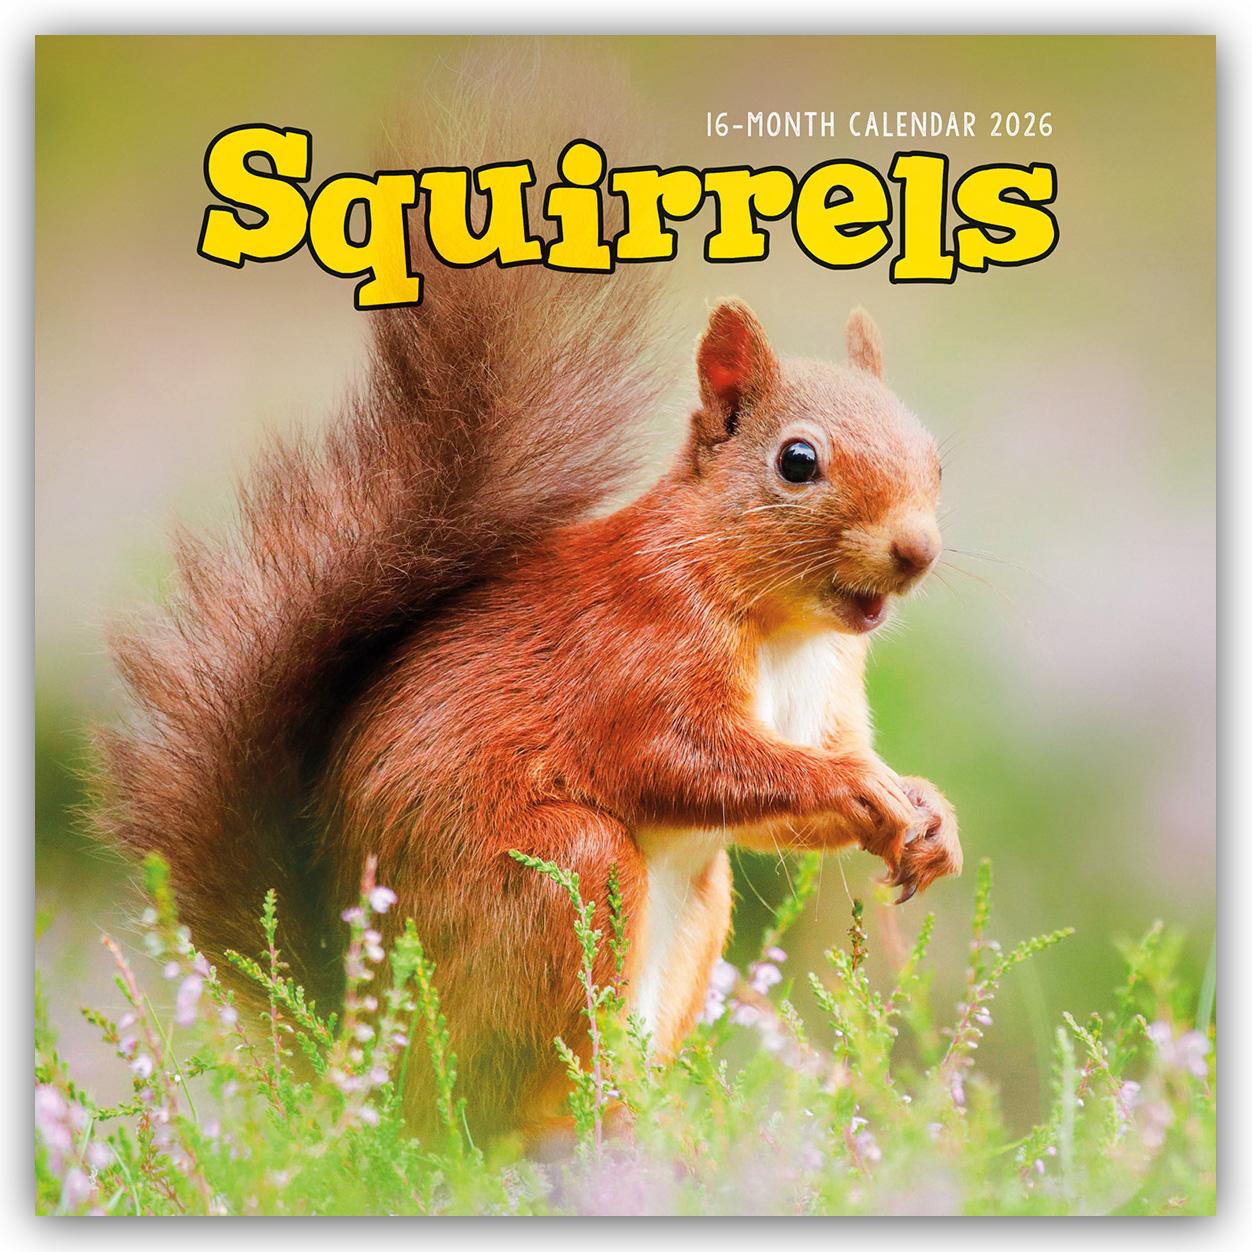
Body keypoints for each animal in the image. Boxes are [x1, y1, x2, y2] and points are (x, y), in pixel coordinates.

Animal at [95, 74, 961, 1144]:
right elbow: (681, 759)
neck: (788, 630)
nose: (916, 549)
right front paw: (858, 790)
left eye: (935, 455)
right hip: (561, 879)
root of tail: (361, 1061)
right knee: (487, 1105)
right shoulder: (636, 646)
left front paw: (925, 810)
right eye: (797, 461)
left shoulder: (830, 692)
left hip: (693, 913)